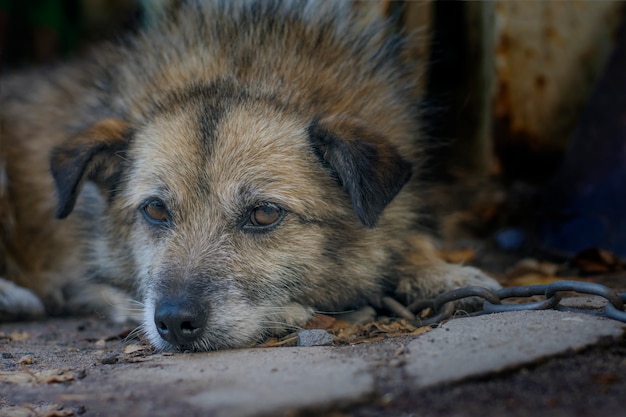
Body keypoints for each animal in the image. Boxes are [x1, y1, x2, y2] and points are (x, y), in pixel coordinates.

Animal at [0, 0, 498, 352]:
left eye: (263, 214)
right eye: (155, 209)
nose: (174, 323)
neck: (242, 72)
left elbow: (406, 239)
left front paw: (443, 274)